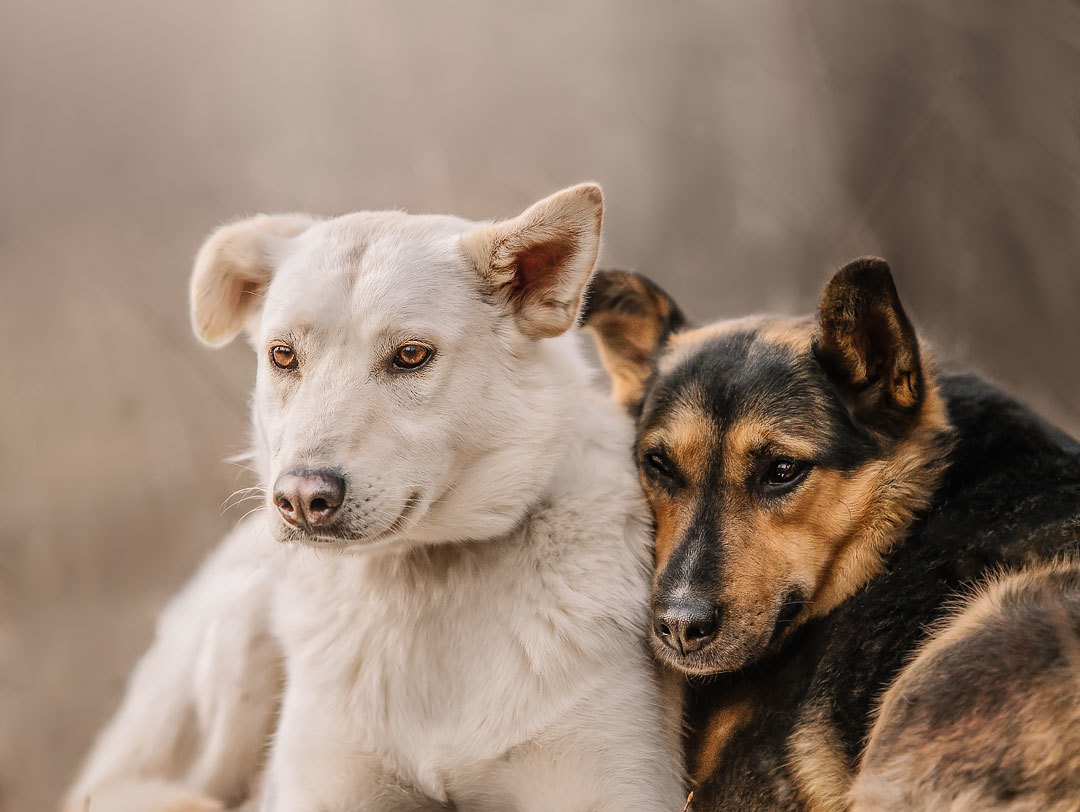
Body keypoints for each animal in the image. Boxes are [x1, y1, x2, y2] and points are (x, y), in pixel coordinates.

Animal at [65, 185, 682, 812]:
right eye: (283, 355)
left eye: (410, 356)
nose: (299, 498)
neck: (427, 584)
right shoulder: (318, 789)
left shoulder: (610, 788)